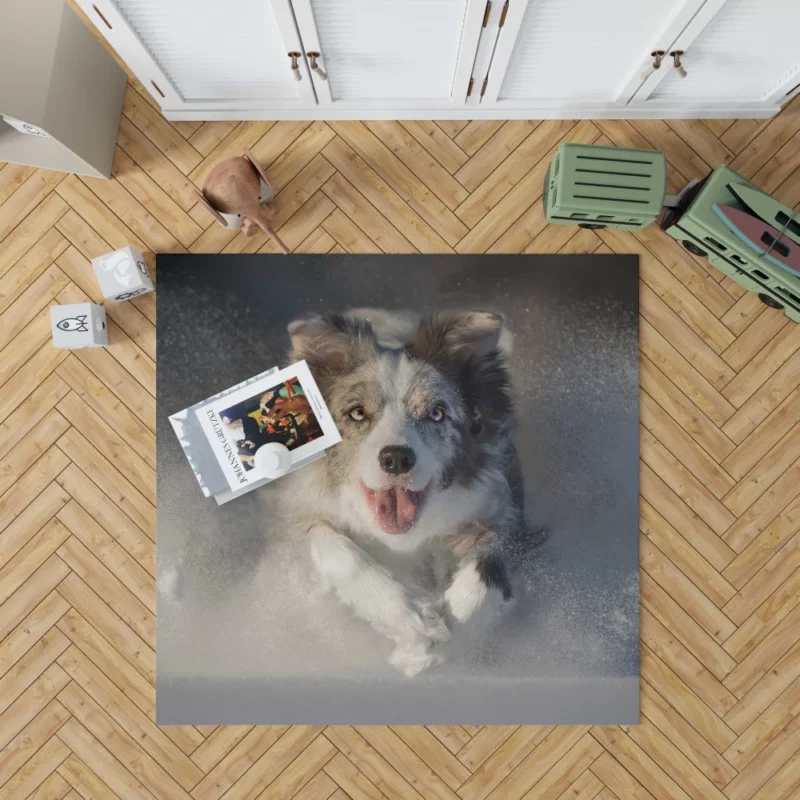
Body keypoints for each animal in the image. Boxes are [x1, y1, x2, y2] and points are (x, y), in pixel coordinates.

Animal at [278, 310, 520, 676]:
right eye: (357, 412)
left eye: (436, 412)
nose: (396, 458)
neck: (401, 543)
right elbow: (332, 545)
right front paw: (412, 619)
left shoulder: (498, 511)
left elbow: (488, 568)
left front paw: (439, 643)